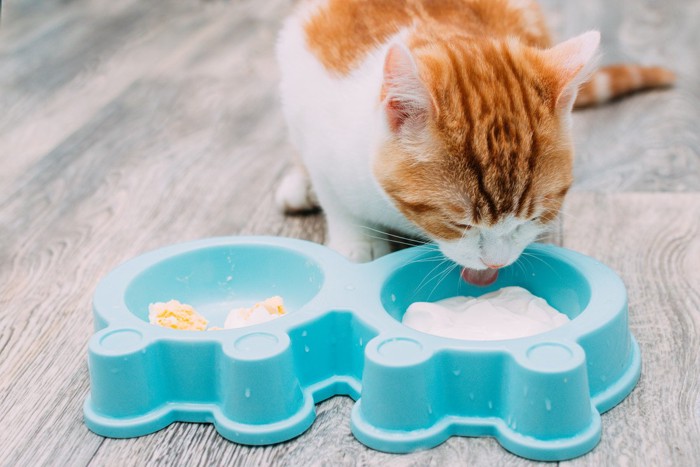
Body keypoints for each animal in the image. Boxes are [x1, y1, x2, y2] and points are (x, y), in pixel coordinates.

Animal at [274, 0, 672, 286]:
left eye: (531, 218)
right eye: (459, 223)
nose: (496, 261)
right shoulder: (317, 127)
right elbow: (334, 197)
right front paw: (356, 243)